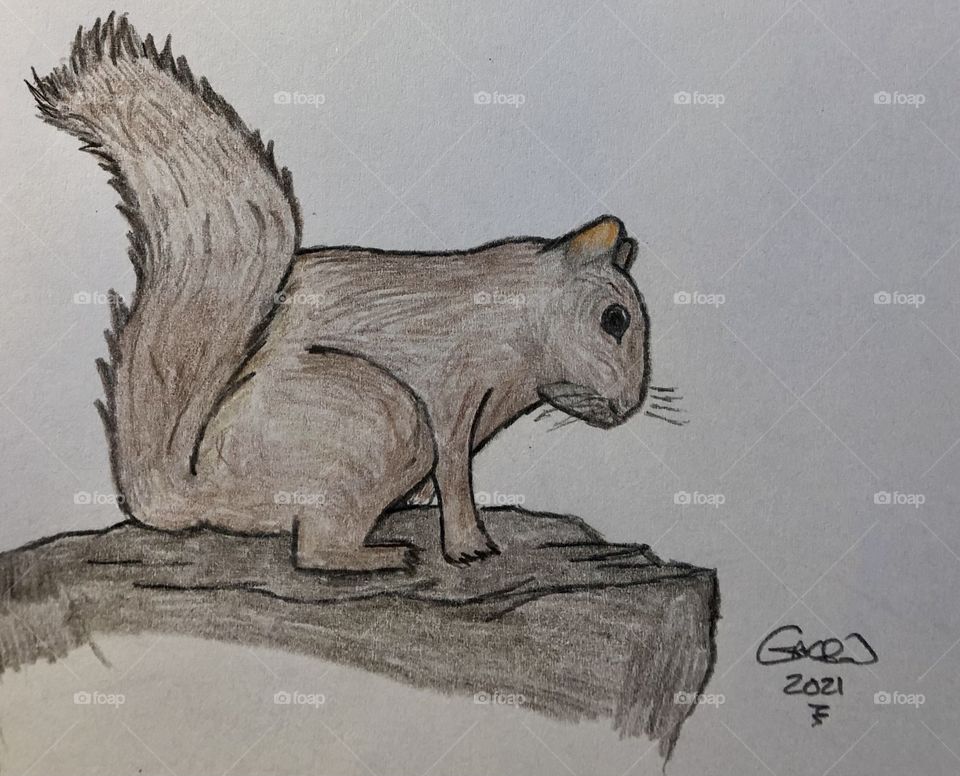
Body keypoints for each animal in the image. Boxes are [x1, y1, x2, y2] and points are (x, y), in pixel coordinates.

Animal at [29, 13, 659, 571]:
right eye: (615, 320)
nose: (628, 407)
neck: (520, 317)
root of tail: (197, 493)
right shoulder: (453, 384)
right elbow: (454, 467)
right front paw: (468, 545)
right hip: (381, 418)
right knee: (312, 549)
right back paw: (378, 556)